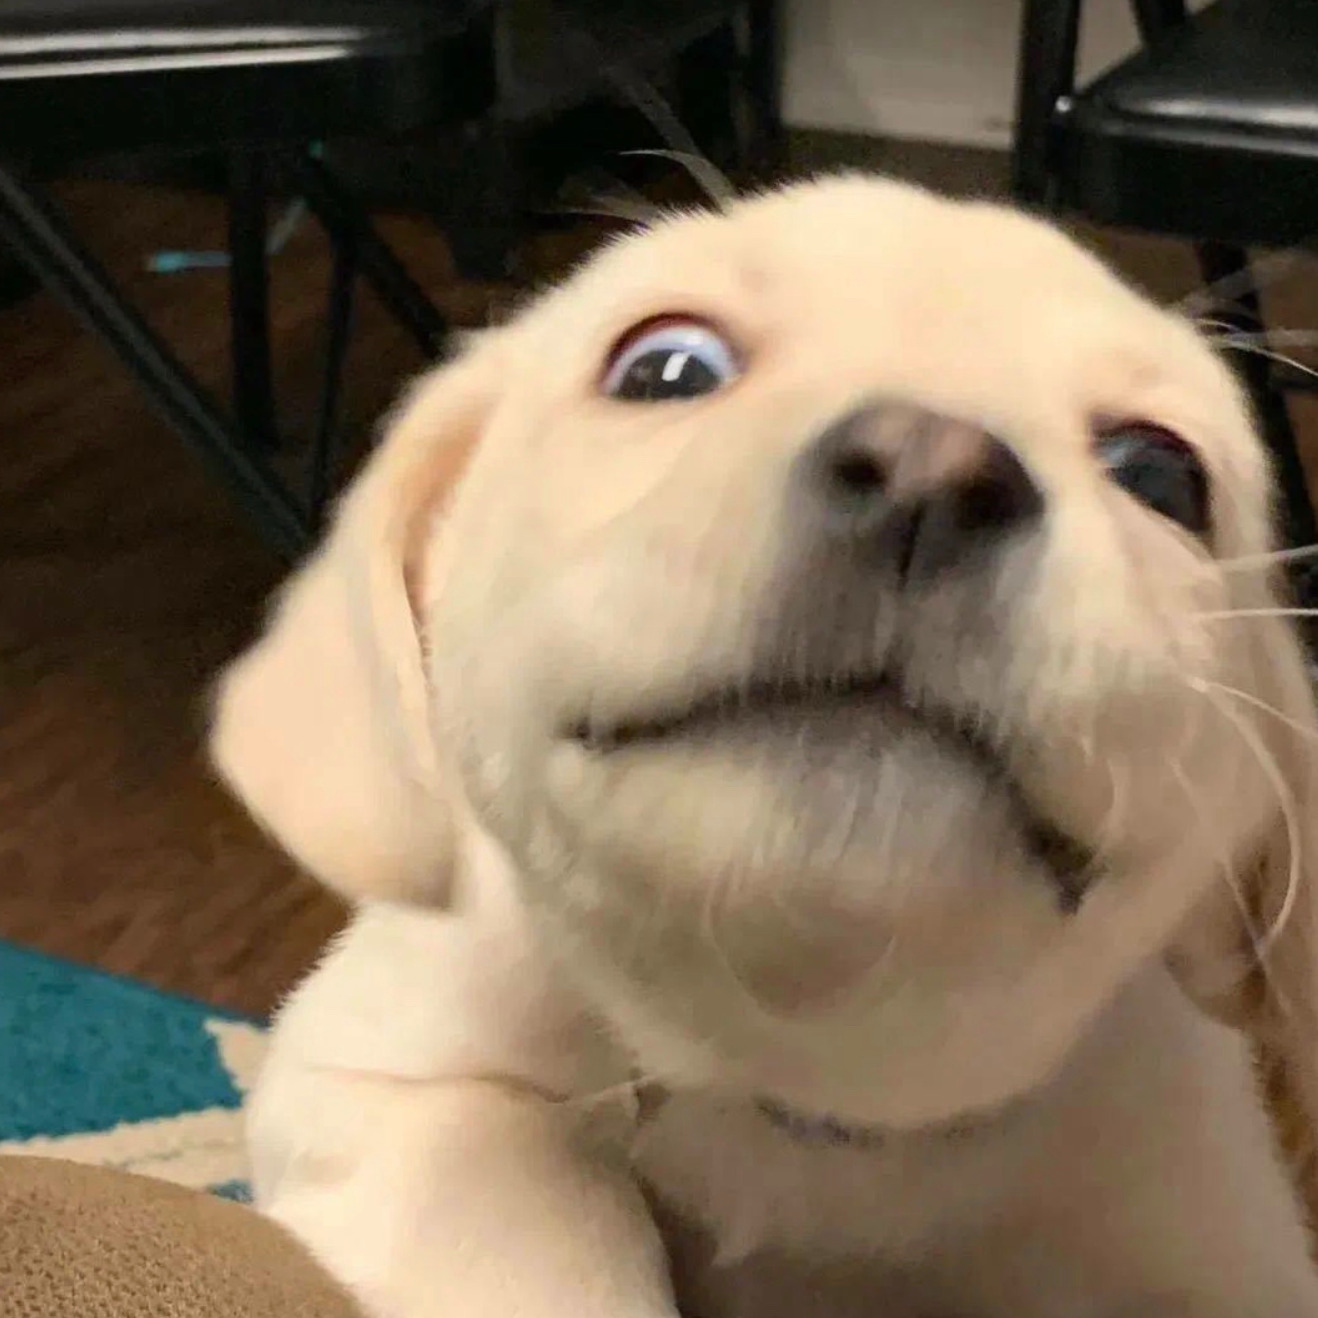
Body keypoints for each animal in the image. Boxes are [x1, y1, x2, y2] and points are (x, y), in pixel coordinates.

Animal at [211, 176, 1318, 1317]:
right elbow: (531, 1212)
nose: (929, 469)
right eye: (665, 368)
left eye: (1162, 475)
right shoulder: (385, 1072)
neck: (794, 1087)